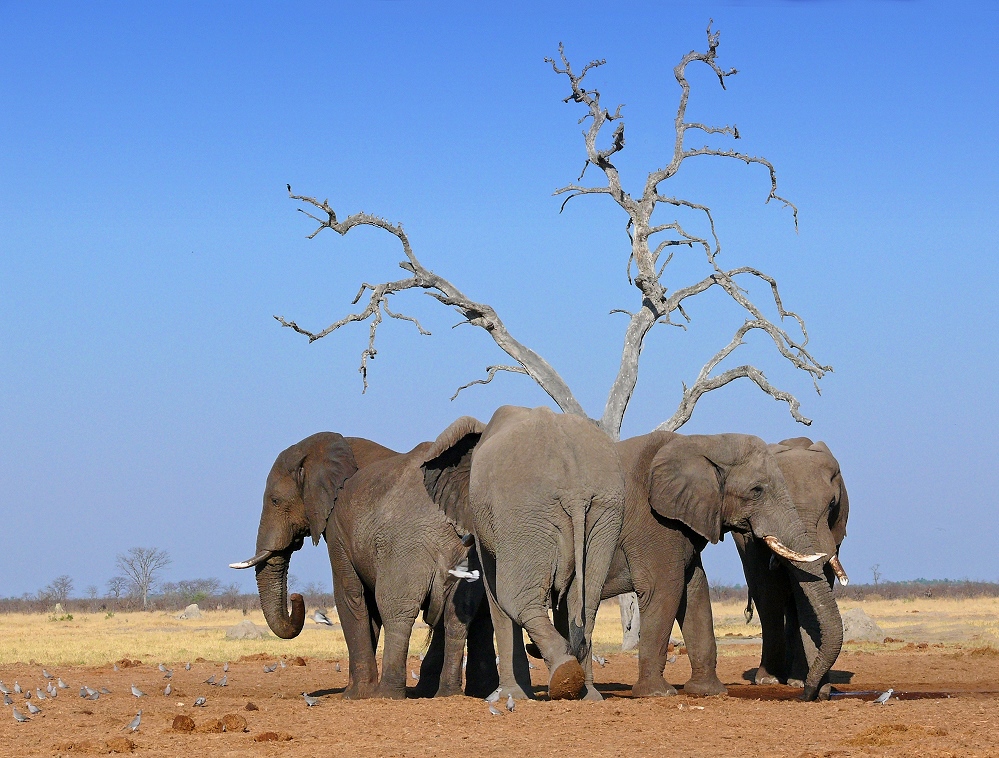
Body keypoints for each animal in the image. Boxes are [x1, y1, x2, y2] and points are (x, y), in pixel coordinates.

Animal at [232, 434, 500, 700]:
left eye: (275, 501)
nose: (296, 597)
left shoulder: (337, 528)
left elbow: (350, 596)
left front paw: (354, 695)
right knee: (460, 614)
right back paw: (449, 694)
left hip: (405, 545)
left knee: (397, 609)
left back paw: (387, 694)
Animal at [422, 406, 624, 704]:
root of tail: (574, 490)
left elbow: (495, 592)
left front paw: (510, 696)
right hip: (603, 512)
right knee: (585, 603)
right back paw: (585, 693)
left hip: (523, 513)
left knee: (515, 598)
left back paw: (563, 677)